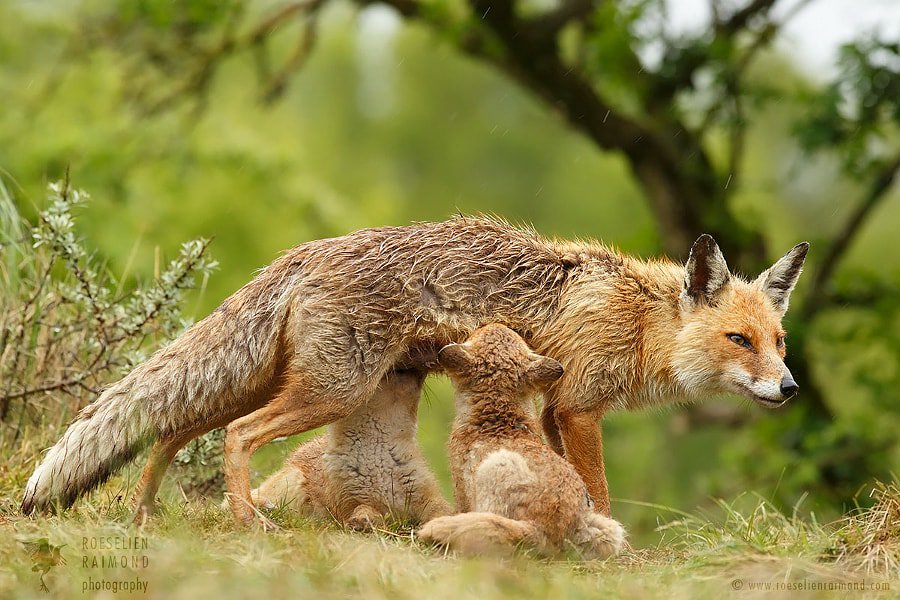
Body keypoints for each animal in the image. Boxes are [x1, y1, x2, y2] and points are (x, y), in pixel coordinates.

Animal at [244, 368, 451, 530]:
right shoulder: (349, 499)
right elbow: (365, 510)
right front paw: (363, 521)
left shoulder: (425, 491)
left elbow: (441, 509)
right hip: (294, 480)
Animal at [417, 324, 625, 558]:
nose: (496, 323)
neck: (500, 418)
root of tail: (549, 529)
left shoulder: (460, 486)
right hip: (609, 527)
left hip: (495, 469)